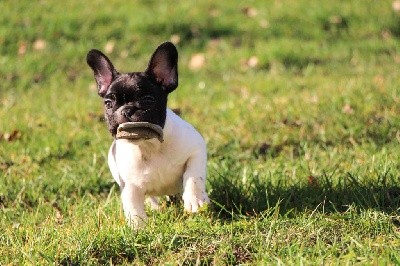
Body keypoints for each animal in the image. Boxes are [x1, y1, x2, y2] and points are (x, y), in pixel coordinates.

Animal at [86, 42, 209, 229]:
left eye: (148, 100)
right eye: (108, 103)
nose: (126, 110)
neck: (150, 145)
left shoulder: (196, 149)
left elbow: (193, 175)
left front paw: (194, 199)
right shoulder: (129, 186)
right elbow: (133, 207)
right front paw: (139, 229)